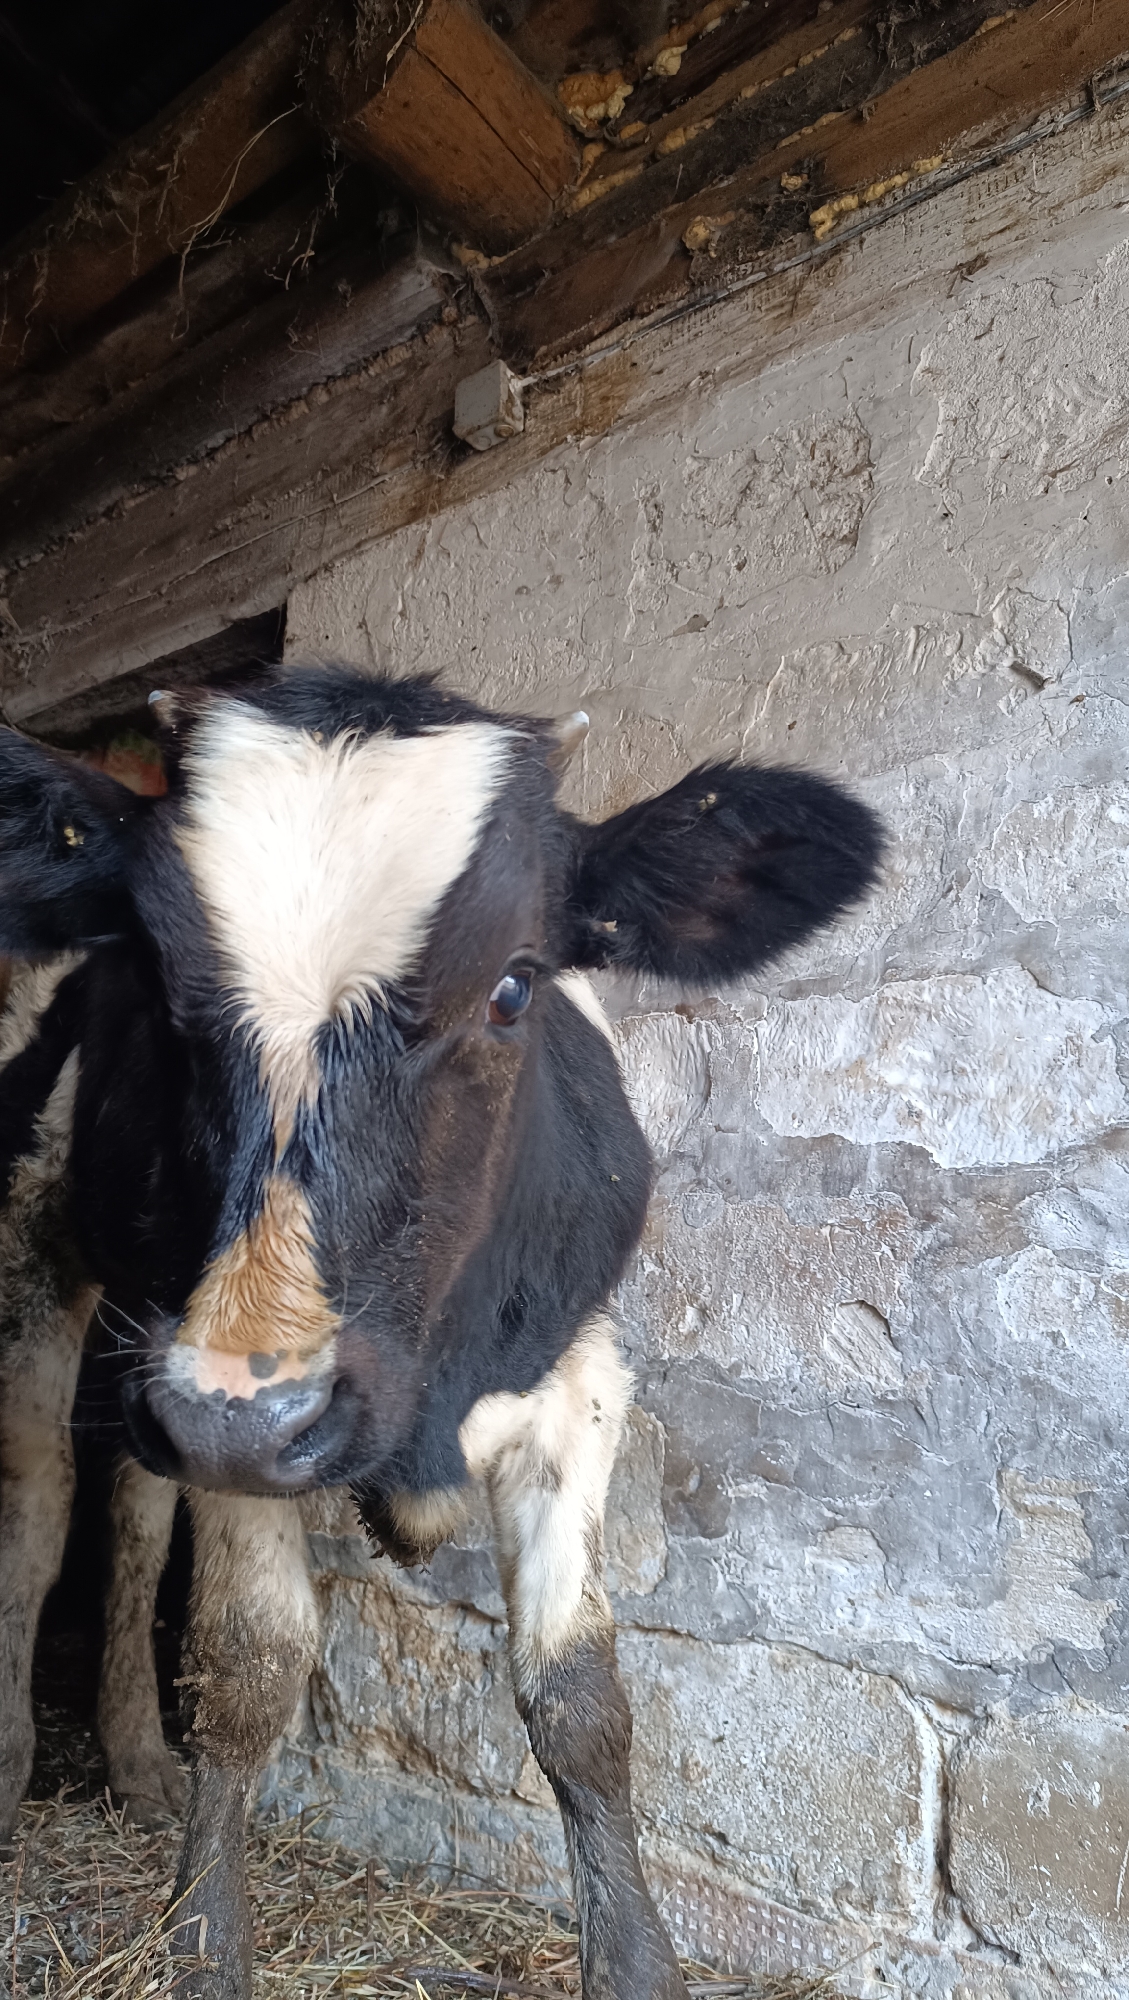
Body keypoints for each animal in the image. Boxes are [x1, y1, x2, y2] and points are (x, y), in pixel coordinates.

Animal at [0, 666, 882, 2000]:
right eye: (150, 979)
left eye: (513, 984)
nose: (244, 1411)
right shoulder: (229, 1410)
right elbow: (248, 1665)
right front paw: (204, 1941)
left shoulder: (575, 1373)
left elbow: (579, 1699)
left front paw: (635, 1957)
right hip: (53, 1248)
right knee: (41, 1495)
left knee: (133, 1511)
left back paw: (138, 1758)